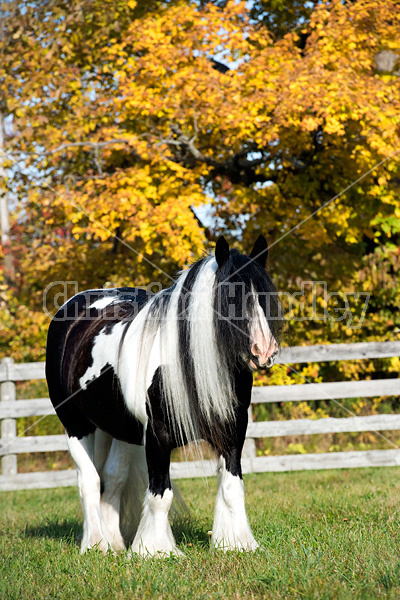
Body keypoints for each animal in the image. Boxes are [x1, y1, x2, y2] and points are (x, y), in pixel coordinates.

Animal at [46, 237, 282, 556]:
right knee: (89, 482)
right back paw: (96, 544)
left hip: (119, 430)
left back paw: (115, 544)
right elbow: (160, 495)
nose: (264, 351)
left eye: (265, 296)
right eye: (231, 297)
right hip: (75, 424)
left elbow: (232, 487)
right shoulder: (158, 436)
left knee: (113, 479)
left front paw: (236, 544)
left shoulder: (233, 430)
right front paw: (156, 551)